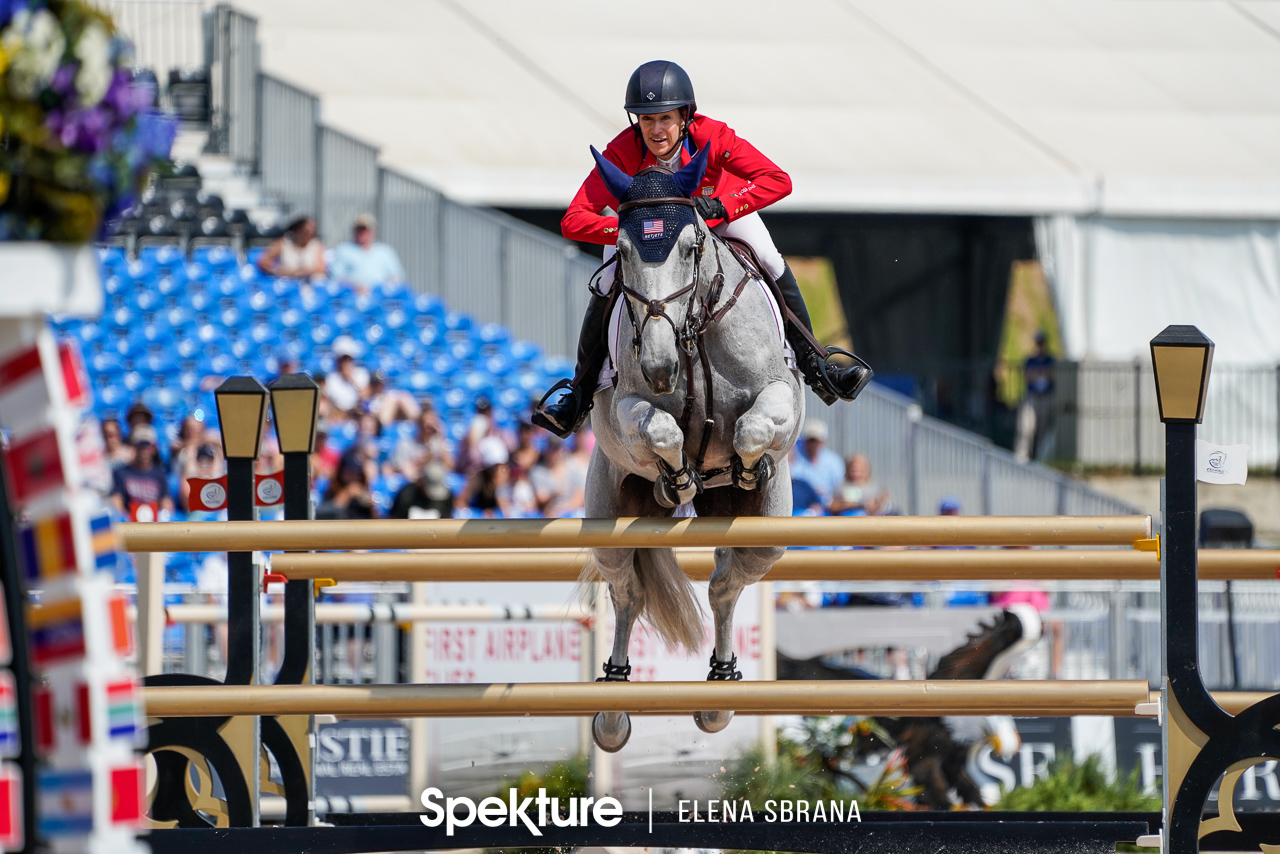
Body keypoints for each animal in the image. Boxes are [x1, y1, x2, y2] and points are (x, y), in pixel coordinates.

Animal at [586, 143, 803, 752]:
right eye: (624, 251)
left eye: (690, 246)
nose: (660, 366)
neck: (692, 332)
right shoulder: (626, 410)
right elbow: (661, 431)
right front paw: (679, 475)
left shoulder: (779, 394)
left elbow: (754, 428)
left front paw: (746, 465)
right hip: (608, 519)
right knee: (627, 591)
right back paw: (612, 709)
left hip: (766, 535)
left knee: (726, 585)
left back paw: (719, 694)